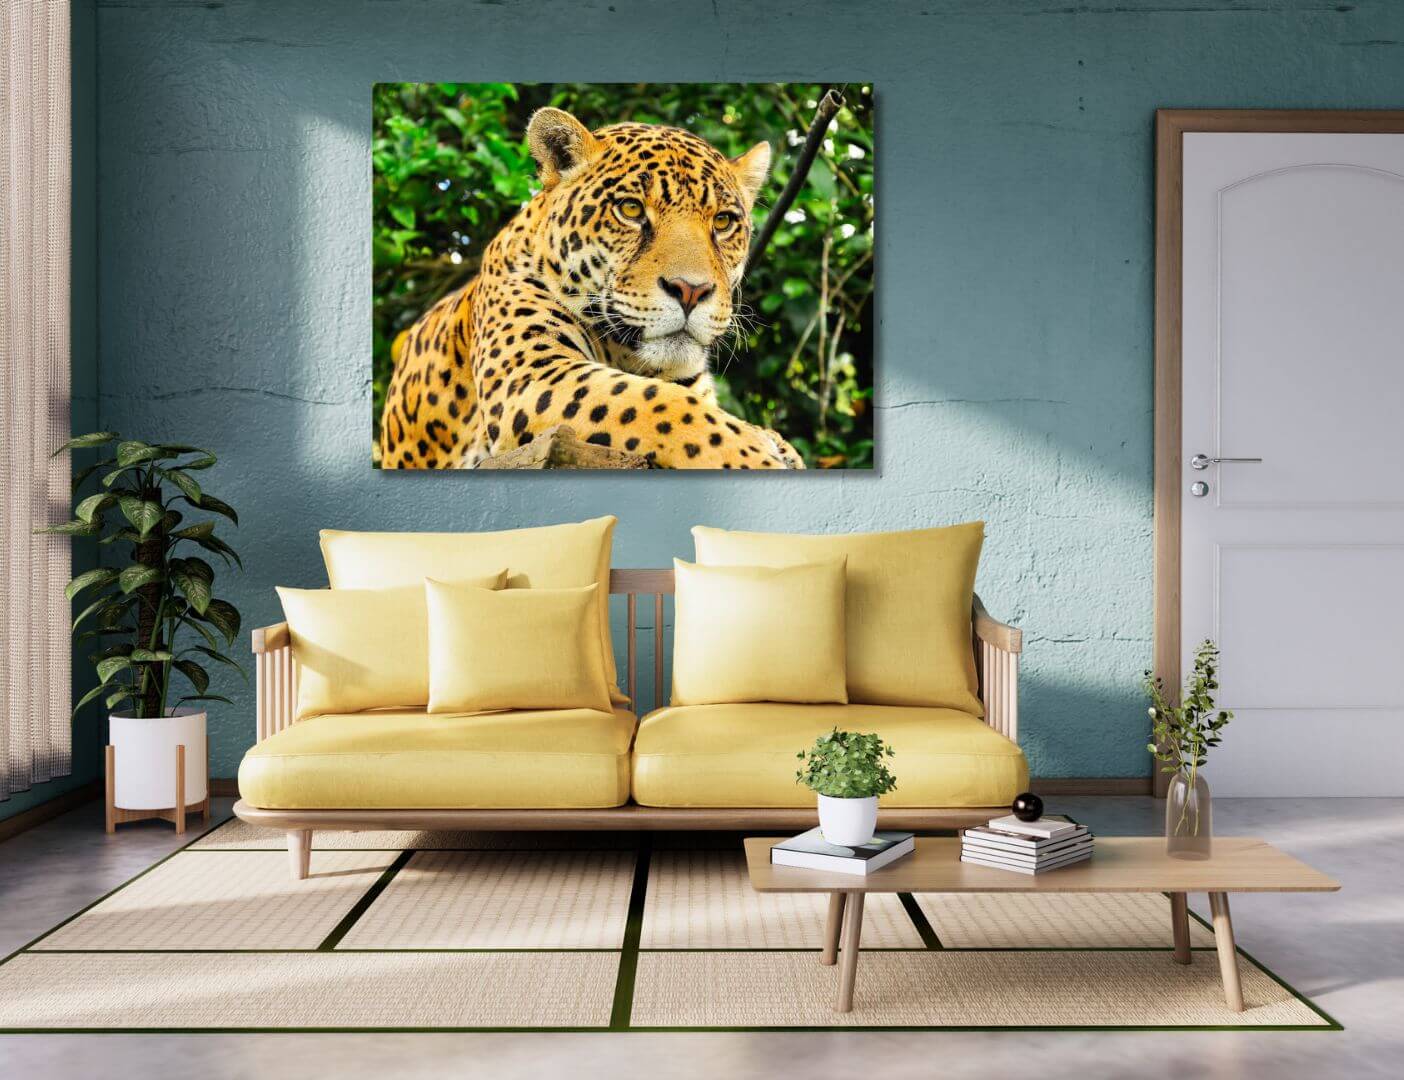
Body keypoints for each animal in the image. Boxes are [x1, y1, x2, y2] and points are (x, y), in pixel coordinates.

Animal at [378, 107, 804, 469]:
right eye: (630, 210)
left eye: (723, 222)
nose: (690, 290)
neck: (630, 356)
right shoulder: (531, 376)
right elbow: (658, 402)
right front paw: (755, 457)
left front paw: (775, 443)